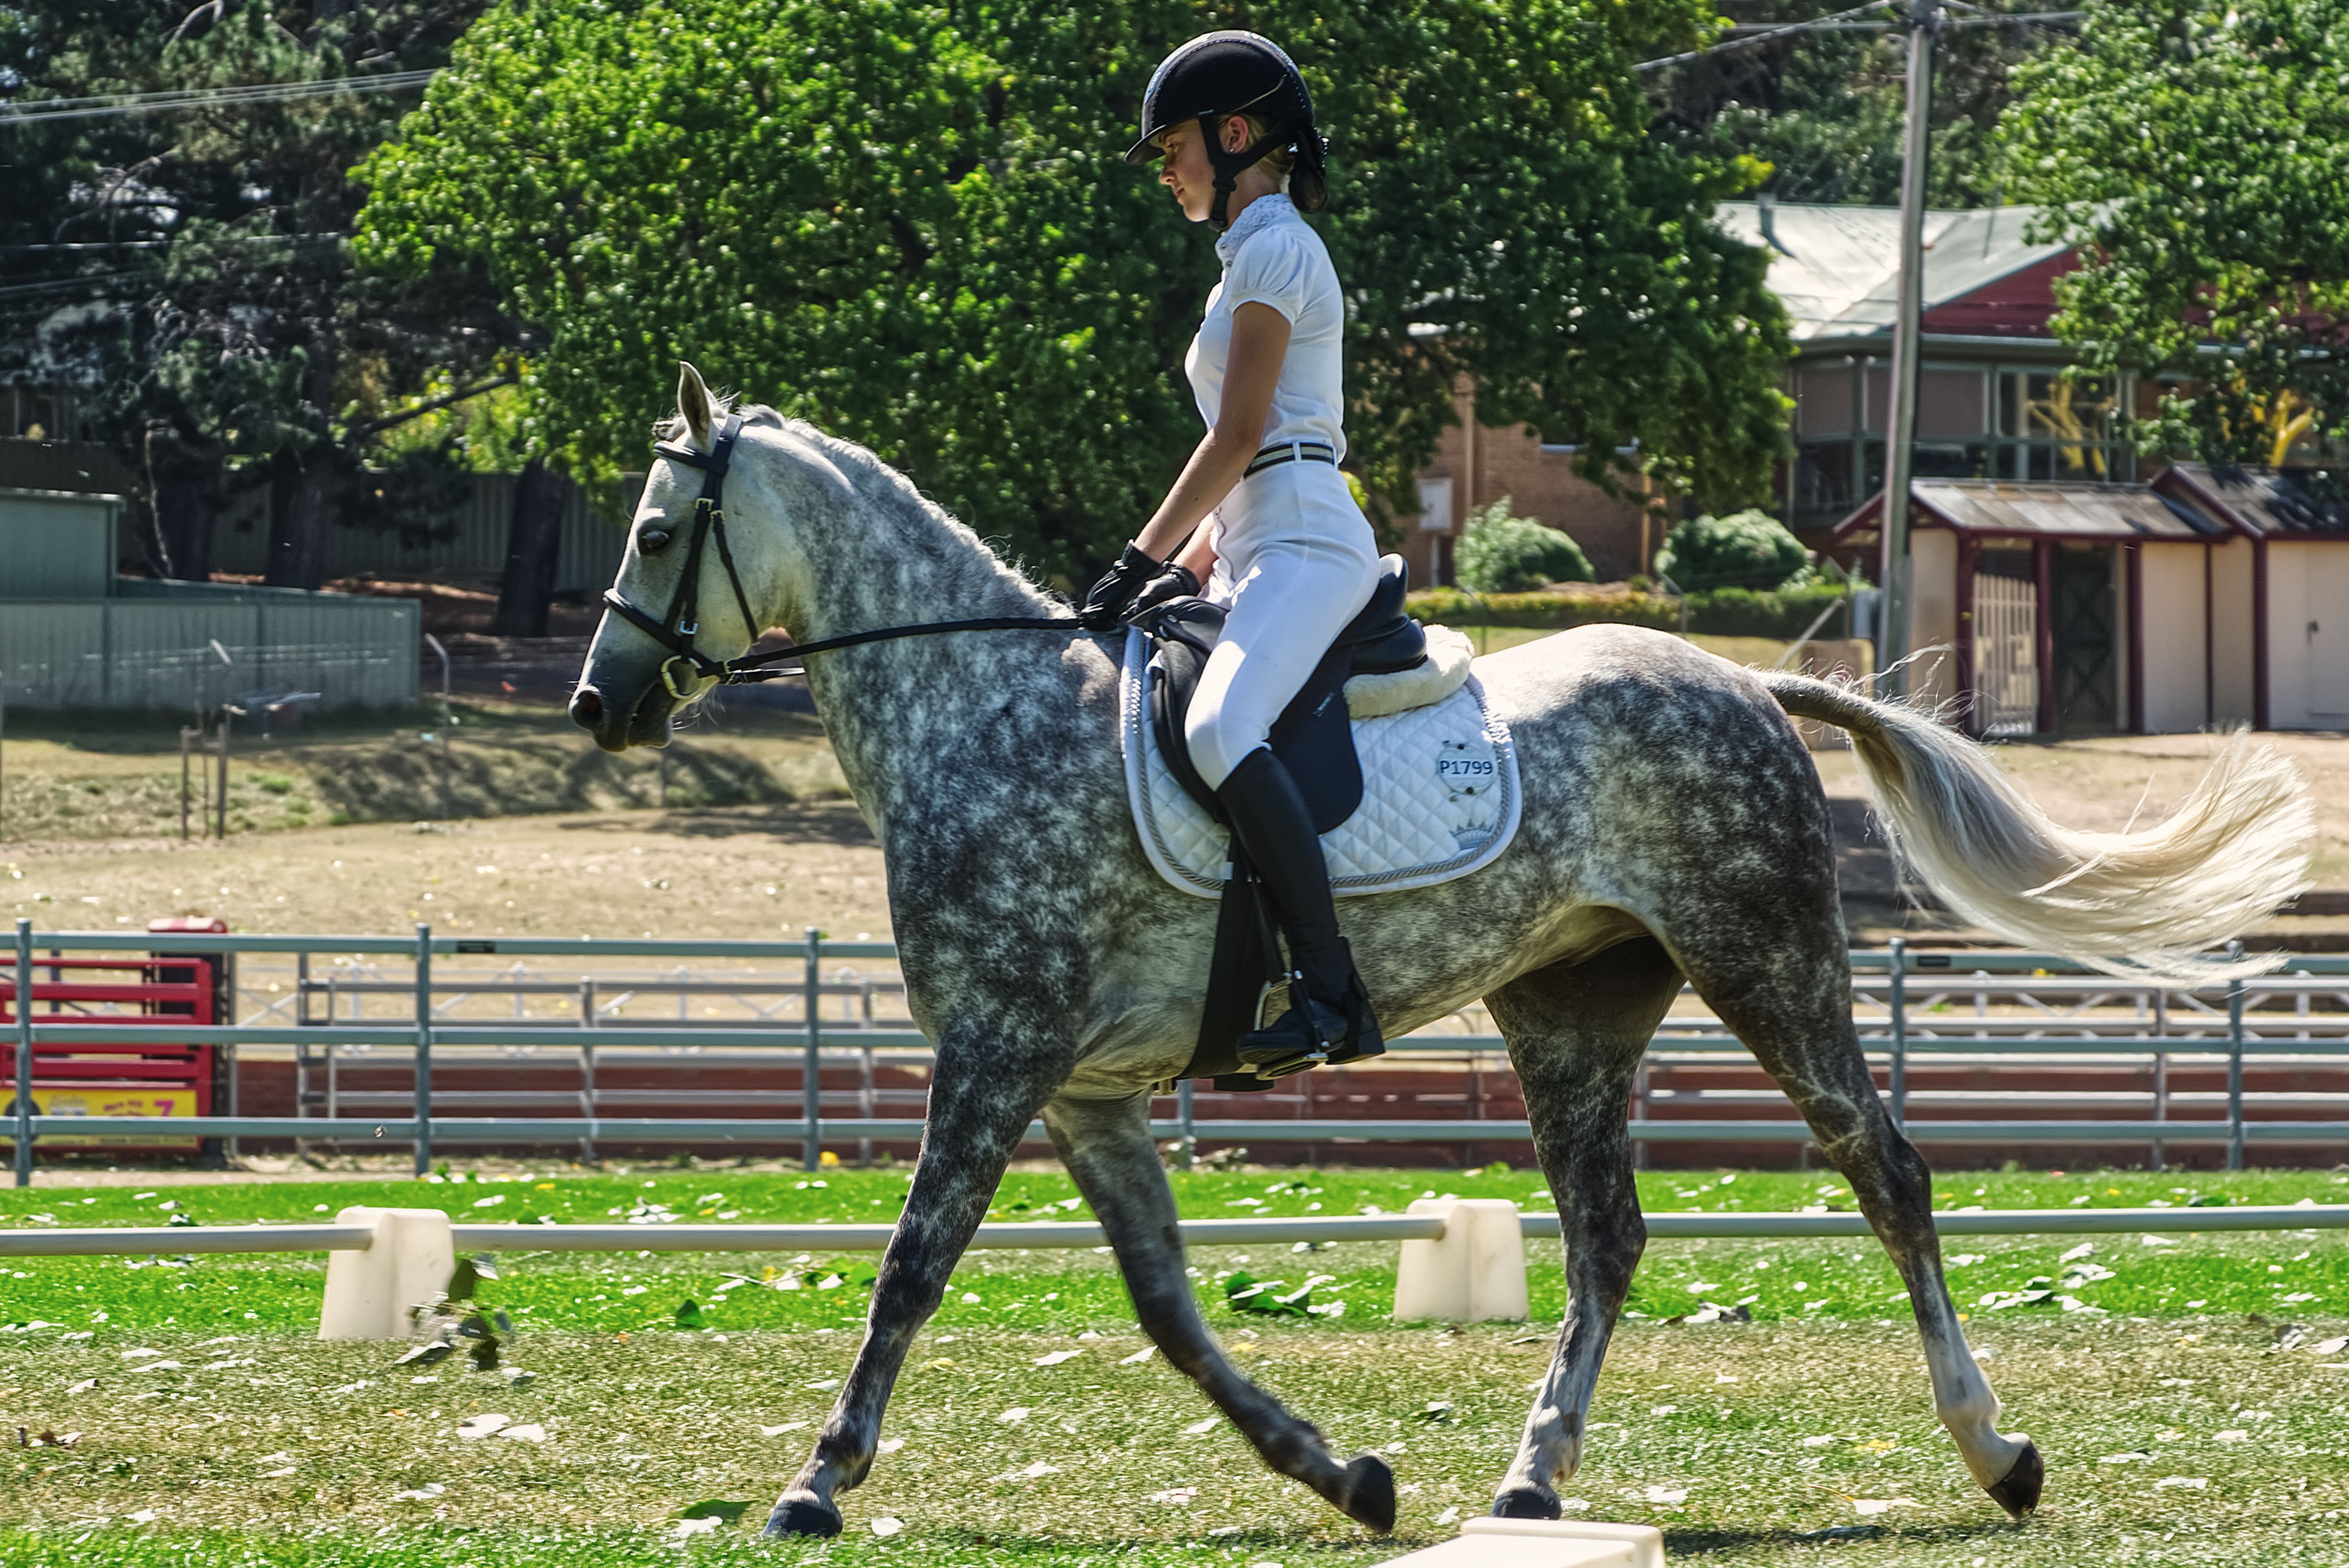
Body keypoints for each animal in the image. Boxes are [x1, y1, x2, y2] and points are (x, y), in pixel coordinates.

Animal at [570, 363, 2310, 1539]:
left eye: (655, 532)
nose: (597, 706)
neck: (978, 717)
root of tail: (1743, 684)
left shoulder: (997, 1057)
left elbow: (910, 1270)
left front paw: (817, 1480)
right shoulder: (1083, 1089)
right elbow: (1166, 1306)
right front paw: (1341, 1472)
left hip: (1765, 962)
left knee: (1884, 1170)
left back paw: (1993, 1452)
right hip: (1568, 1010)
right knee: (1606, 1236)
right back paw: (1531, 1477)